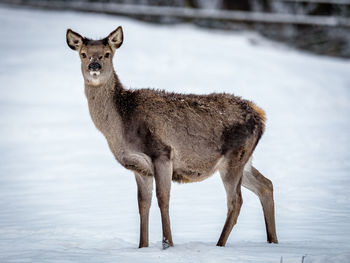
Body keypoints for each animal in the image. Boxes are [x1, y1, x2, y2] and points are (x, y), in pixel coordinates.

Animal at [66, 26, 278, 250]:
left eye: (107, 54)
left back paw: (220, 244)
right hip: (243, 160)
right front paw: (142, 246)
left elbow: (163, 199)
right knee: (266, 185)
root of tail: (261, 116)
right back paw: (273, 240)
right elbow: (143, 204)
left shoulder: (162, 153)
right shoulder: (139, 167)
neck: (121, 126)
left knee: (236, 201)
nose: (94, 65)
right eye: (83, 54)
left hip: (234, 157)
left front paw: (167, 244)